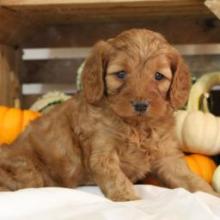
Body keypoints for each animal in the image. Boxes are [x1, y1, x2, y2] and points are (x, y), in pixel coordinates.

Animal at [0, 28, 217, 201]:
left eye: (158, 76)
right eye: (120, 74)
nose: (140, 105)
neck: (136, 126)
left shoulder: (167, 156)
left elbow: (190, 178)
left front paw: (211, 195)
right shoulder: (102, 151)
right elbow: (115, 177)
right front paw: (129, 199)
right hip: (29, 172)